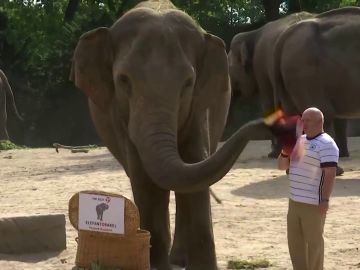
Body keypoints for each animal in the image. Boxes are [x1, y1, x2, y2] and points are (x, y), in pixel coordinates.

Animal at [69, 1, 272, 268]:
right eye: (123, 80)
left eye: (188, 82)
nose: (266, 124)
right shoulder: (119, 115)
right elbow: (143, 175)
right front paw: (155, 263)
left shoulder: (199, 105)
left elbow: (195, 159)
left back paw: (179, 258)